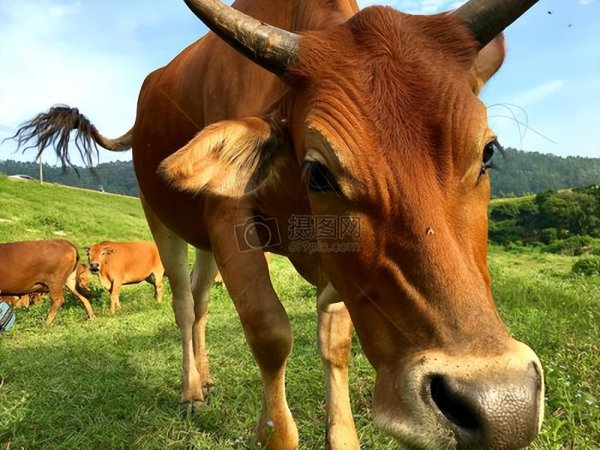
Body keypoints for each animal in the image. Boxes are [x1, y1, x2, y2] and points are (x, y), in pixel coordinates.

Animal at [15, 0, 548, 448]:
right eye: (319, 171)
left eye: (487, 152)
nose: (501, 406)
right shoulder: (230, 221)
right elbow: (270, 333)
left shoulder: (334, 271)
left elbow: (335, 343)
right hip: (160, 218)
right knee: (184, 305)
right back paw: (191, 390)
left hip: (205, 243)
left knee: (202, 301)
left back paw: (206, 376)